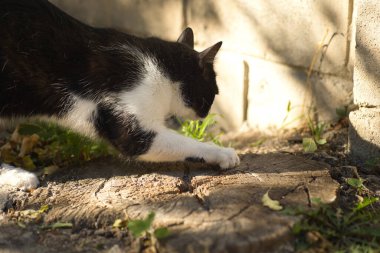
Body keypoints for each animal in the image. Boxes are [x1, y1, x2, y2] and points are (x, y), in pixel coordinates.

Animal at [0, 0, 240, 190]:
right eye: (214, 92)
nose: (206, 114)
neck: (161, 69)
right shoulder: (130, 124)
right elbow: (182, 143)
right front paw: (223, 153)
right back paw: (18, 177)